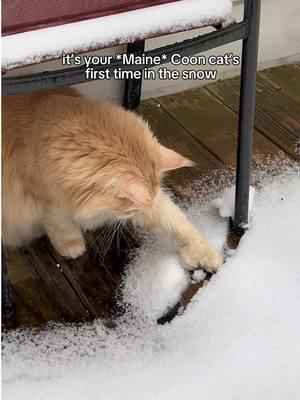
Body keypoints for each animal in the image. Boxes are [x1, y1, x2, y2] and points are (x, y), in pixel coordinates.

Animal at [1, 87, 223, 272]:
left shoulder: (155, 201)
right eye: (129, 210)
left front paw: (206, 255)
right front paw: (71, 244)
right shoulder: (47, 201)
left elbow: (179, 224)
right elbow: (61, 225)